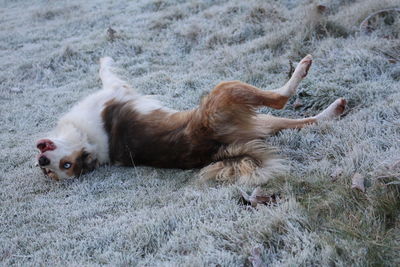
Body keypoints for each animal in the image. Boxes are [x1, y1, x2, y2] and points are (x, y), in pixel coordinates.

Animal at [36, 55, 346, 185]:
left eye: (63, 166)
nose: (42, 161)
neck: (88, 141)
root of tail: (213, 150)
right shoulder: (115, 89)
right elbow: (106, 72)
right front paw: (105, 58)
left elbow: (104, 71)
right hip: (227, 92)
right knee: (280, 99)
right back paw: (303, 69)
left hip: (259, 121)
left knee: (308, 122)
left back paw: (334, 108)